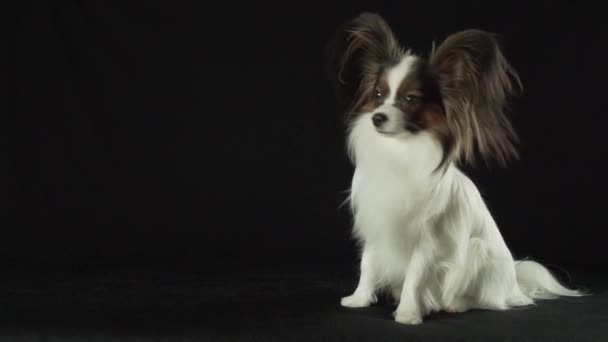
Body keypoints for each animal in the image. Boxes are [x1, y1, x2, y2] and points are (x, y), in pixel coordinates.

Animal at [328, 12, 584, 324]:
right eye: (378, 95)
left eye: (409, 99)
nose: (377, 117)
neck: (400, 151)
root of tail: (514, 284)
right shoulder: (376, 225)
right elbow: (368, 264)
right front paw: (359, 299)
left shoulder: (428, 238)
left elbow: (414, 275)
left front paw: (408, 313)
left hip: (477, 252)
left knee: (485, 300)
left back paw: (455, 304)